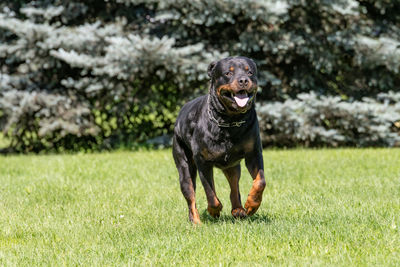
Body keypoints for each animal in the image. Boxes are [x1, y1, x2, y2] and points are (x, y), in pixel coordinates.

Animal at [172, 57, 266, 226]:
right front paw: (214, 210)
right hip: (183, 163)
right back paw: (196, 222)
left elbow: (260, 181)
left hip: (233, 166)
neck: (229, 120)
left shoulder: (254, 153)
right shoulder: (203, 162)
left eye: (250, 72)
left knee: (234, 187)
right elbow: (210, 193)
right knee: (190, 195)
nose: (243, 80)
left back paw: (238, 210)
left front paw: (252, 205)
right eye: (228, 73)